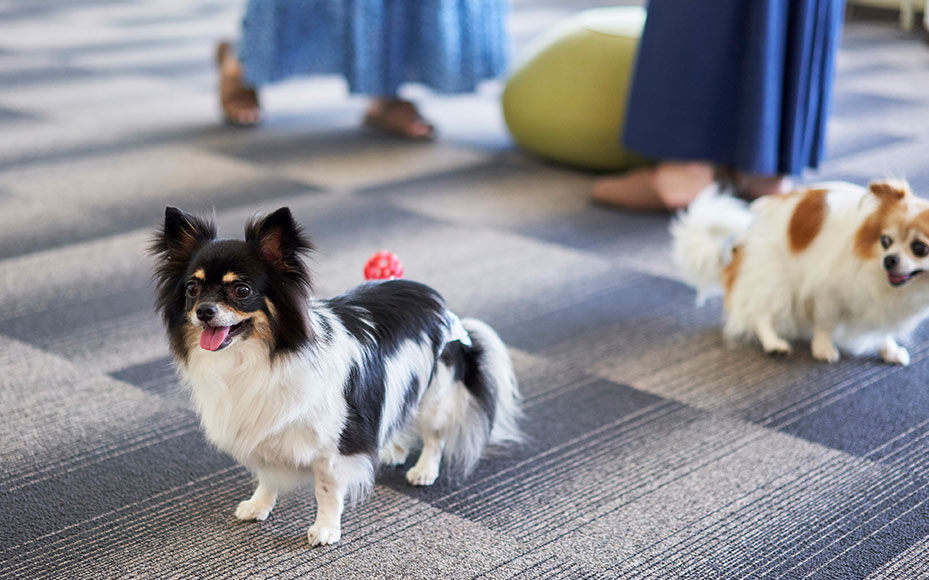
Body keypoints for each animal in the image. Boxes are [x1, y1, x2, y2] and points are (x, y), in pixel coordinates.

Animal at [149, 206, 520, 548]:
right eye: (192, 289)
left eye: (241, 290)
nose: (203, 311)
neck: (253, 359)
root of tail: (438, 301)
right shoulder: (266, 429)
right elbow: (266, 476)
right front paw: (258, 505)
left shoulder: (332, 445)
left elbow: (326, 490)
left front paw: (325, 530)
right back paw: (394, 449)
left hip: (435, 392)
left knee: (434, 435)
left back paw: (425, 469)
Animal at [672, 179, 928, 364]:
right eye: (886, 240)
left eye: (919, 248)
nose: (889, 260)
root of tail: (738, 249)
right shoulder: (827, 292)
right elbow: (825, 323)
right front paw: (823, 348)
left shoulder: (881, 306)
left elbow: (882, 331)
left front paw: (890, 351)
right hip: (776, 280)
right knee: (760, 315)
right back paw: (774, 344)